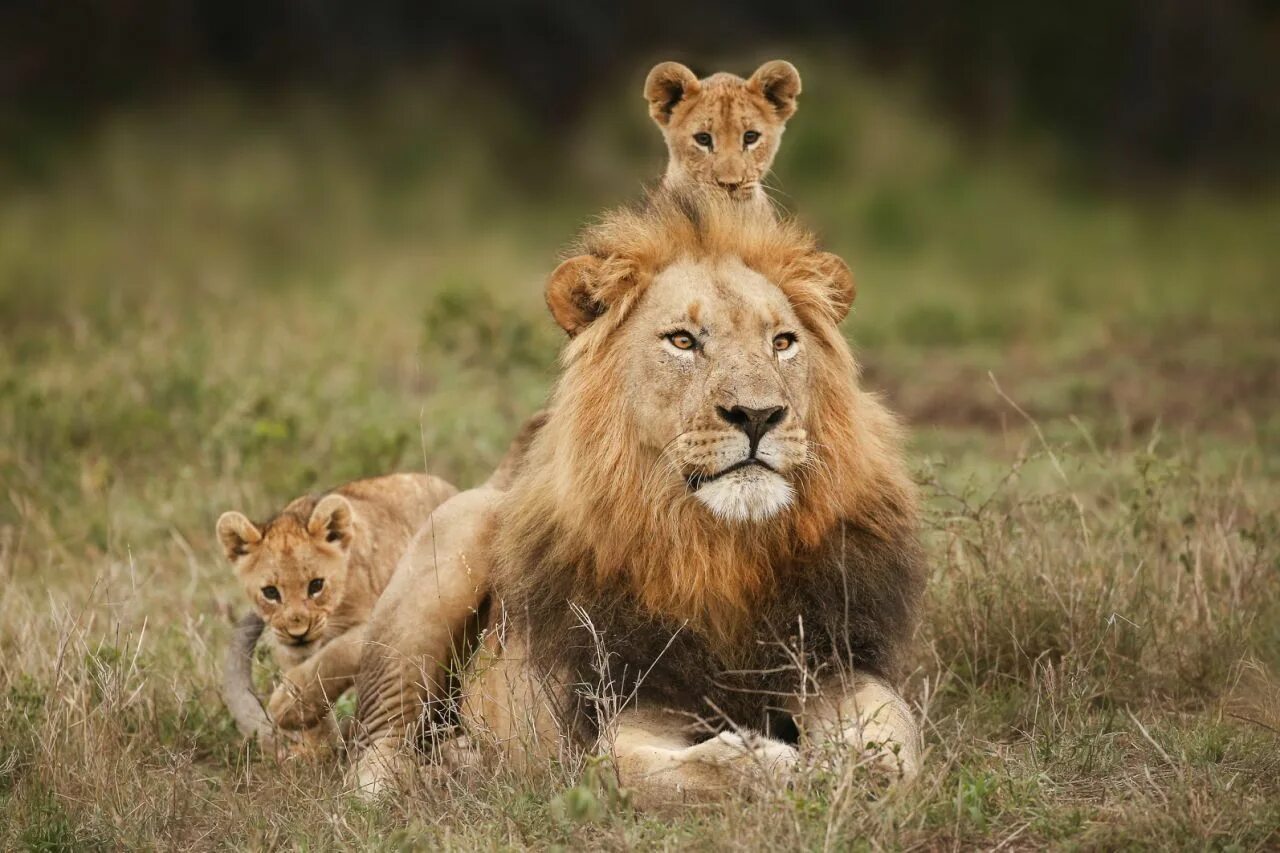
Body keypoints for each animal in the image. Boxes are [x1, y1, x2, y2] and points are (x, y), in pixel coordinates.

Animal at [355, 188, 926, 804]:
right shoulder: (623, 714)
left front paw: (849, 769)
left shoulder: (836, 664)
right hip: (447, 556)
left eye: (782, 342)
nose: (758, 415)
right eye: (682, 341)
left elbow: (893, 748)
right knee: (375, 746)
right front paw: (788, 765)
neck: (722, 550)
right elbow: (685, 770)